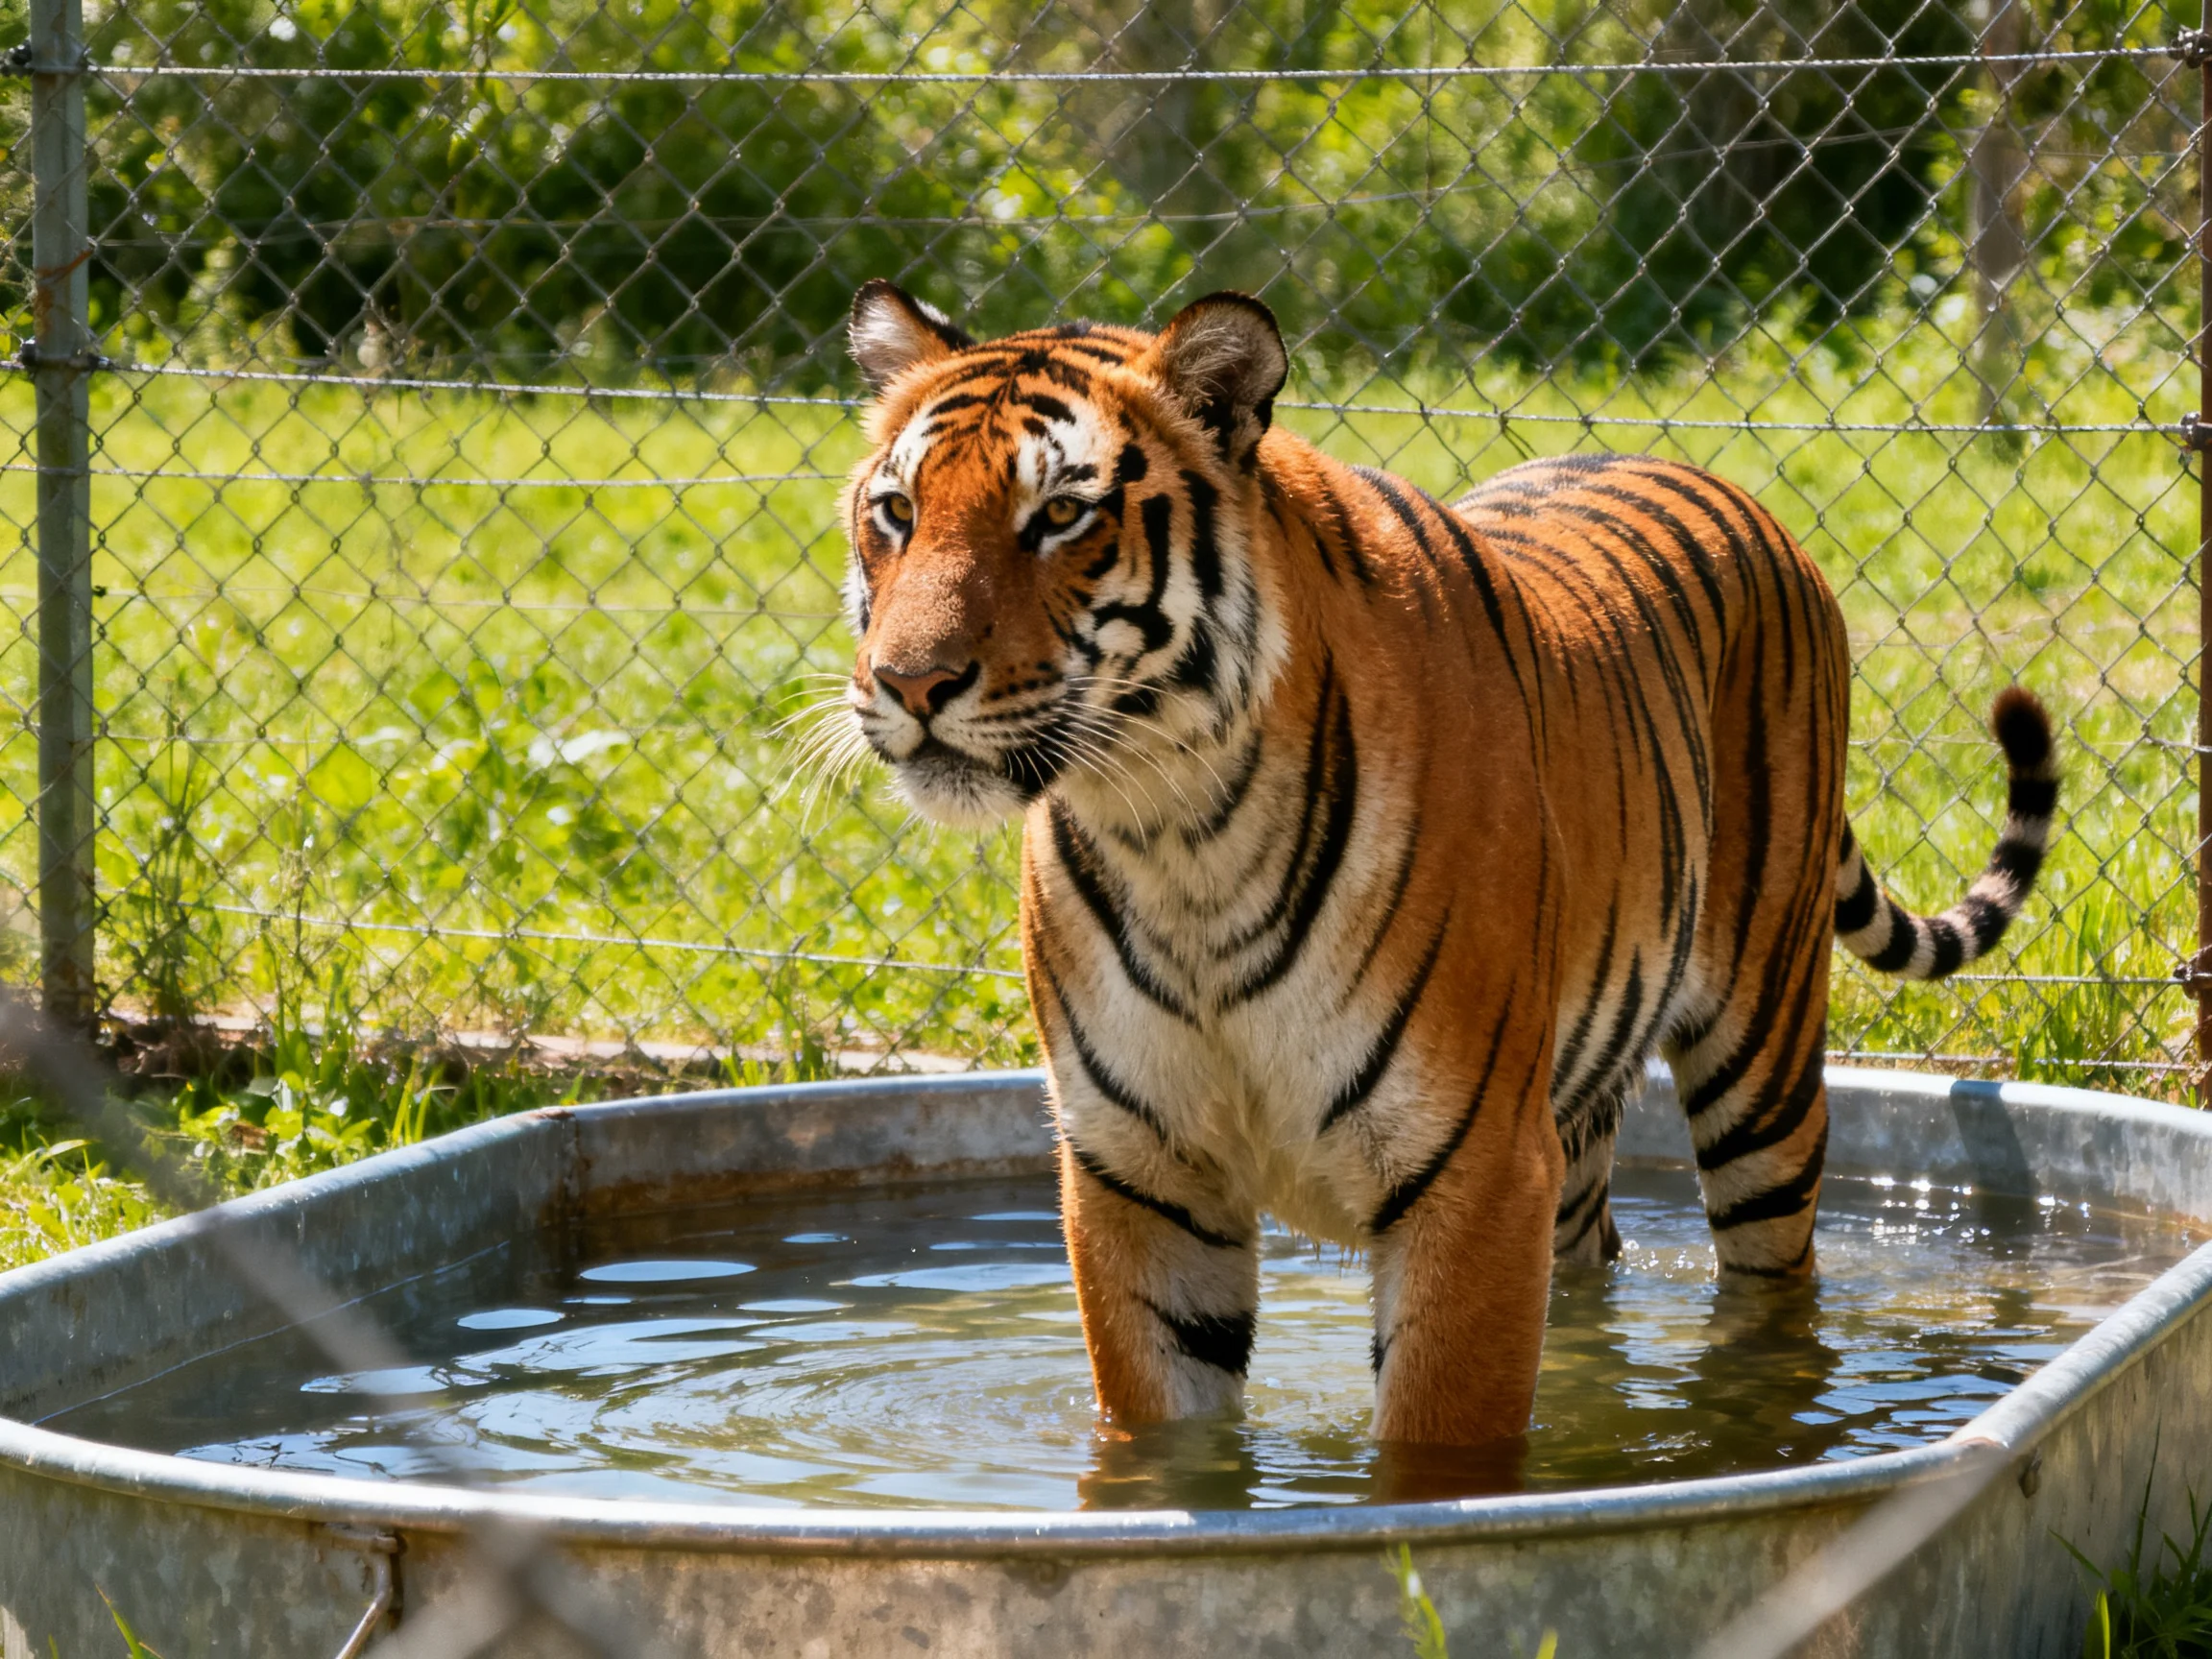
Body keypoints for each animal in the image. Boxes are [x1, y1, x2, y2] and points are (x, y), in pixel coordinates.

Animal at [831, 278, 2058, 1453]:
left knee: (1776, 1287)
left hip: (1762, 1065)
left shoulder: (1472, 1174)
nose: (907, 682)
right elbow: (1158, 1447)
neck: (1180, 834)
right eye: (897, 512)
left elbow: (1431, 1457)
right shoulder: (1143, 1176)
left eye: (1061, 516)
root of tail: (1740, 499)